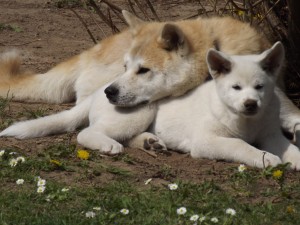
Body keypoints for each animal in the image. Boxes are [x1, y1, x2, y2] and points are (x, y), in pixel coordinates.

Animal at [1, 12, 300, 159]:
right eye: (127, 67)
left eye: (143, 70)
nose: (110, 92)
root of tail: (93, 50)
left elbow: (290, 116)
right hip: (137, 107)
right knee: (90, 128)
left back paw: (149, 142)